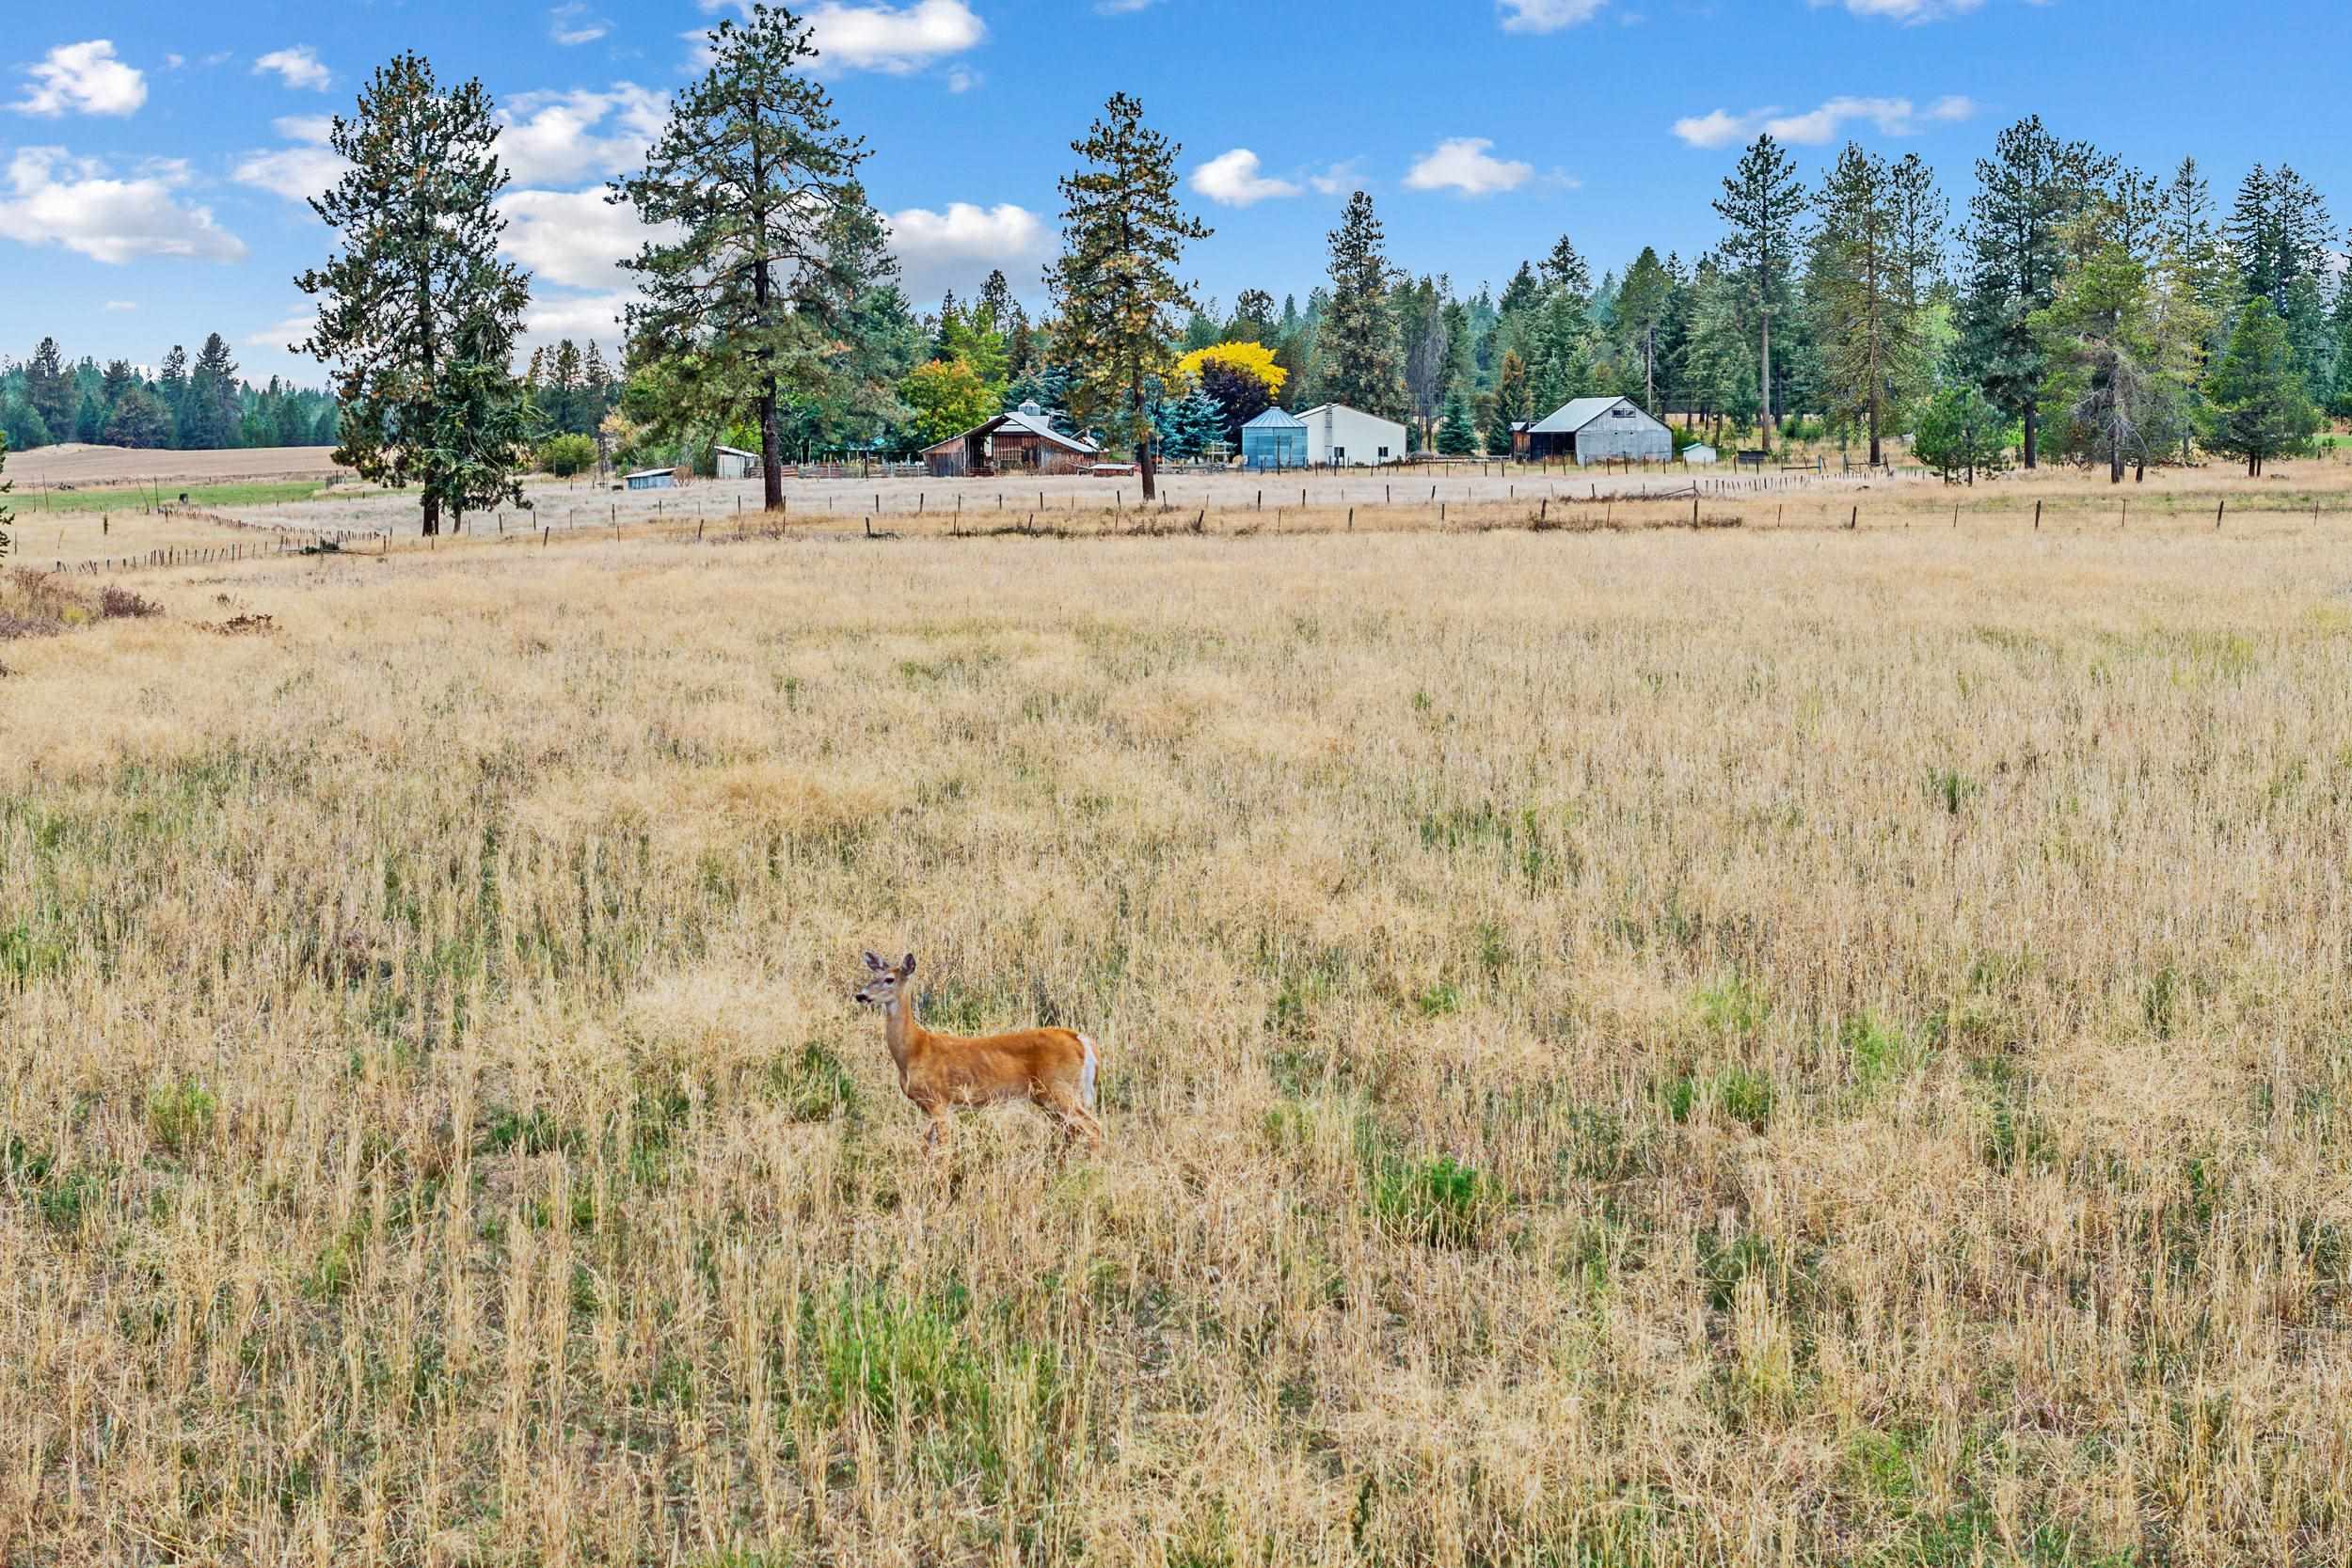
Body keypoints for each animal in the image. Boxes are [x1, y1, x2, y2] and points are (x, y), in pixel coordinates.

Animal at [852, 951, 1104, 1154]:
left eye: (889, 979)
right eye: (872, 976)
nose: (861, 995)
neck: (915, 1049)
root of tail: (1081, 1040)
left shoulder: (939, 1101)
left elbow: (943, 1151)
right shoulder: (929, 1108)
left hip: (1060, 1089)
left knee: (1094, 1128)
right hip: (1047, 1096)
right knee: (1072, 1132)